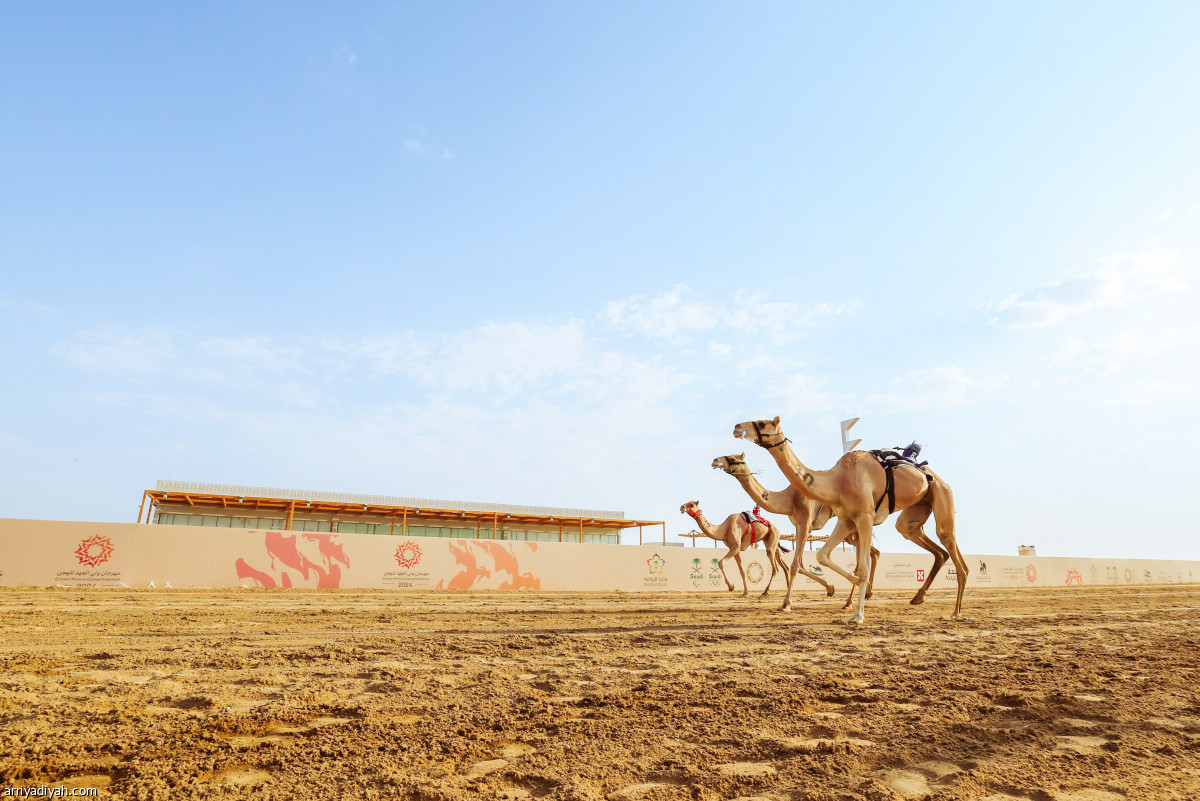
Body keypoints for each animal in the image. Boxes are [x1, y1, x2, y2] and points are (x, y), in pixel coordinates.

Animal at [700, 450, 883, 606]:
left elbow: (796, 565)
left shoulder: (805, 523)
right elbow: (800, 565)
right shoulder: (798, 525)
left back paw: (854, 599)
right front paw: (830, 588)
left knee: (864, 556)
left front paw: (787, 602)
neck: (790, 498)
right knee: (871, 552)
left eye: (733, 458)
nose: (715, 460)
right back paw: (864, 594)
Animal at [729, 417, 964, 623]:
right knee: (924, 542)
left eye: (762, 423)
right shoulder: (845, 520)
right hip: (915, 511)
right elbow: (823, 556)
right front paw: (843, 594)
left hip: (941, 494)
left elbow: (847, 566)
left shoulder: (854, 517)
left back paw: (955, 611)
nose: (737, 427)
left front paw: (857, 615)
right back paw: (917, 597)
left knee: (948, 541)